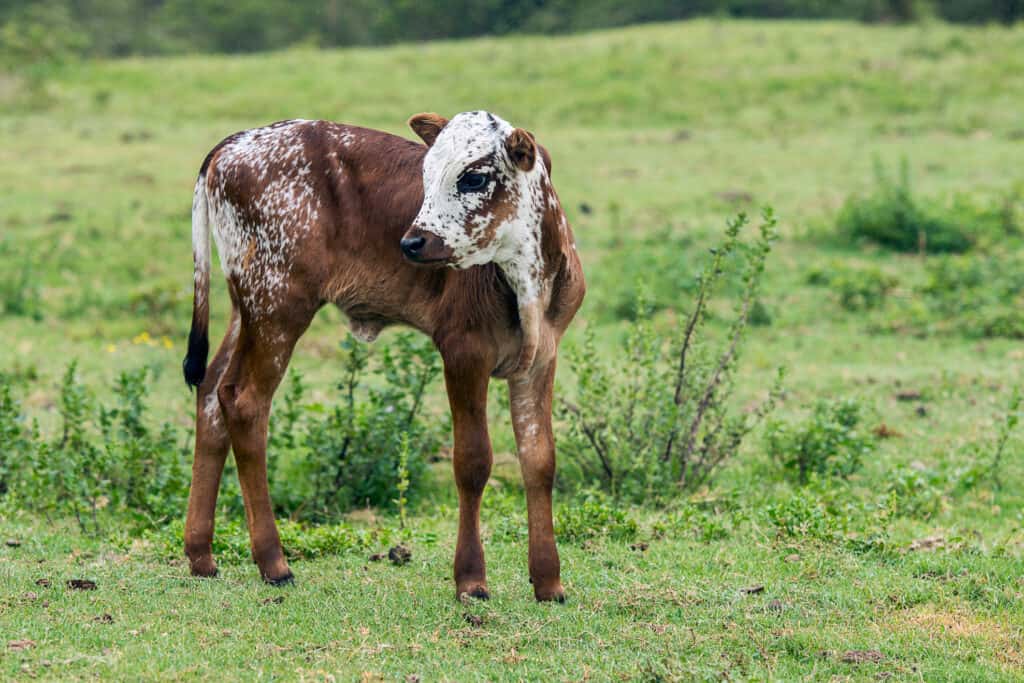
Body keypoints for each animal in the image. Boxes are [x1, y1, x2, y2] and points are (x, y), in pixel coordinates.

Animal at [182, 109, 585, 602]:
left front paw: (548, 580)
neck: (524, 277)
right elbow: (473, 462)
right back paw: (273, 561)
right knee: (244, 402)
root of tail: (235, 144)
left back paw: (201, 554)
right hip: (278, 305)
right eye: (426, 175)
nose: (412, 242)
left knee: (211, 391)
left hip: (249, 309)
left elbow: (539, 460)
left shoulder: (542, 356)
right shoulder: (463, 352)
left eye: (473, 177)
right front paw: (471, 579)